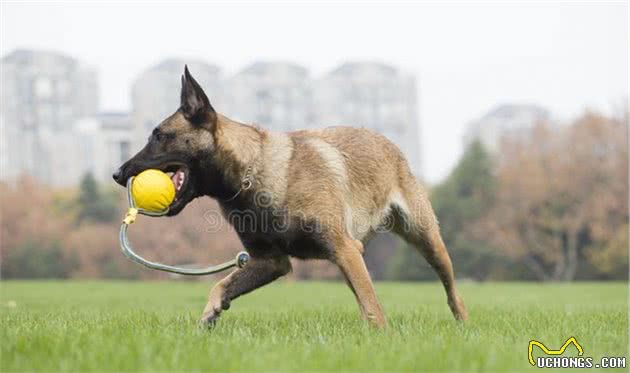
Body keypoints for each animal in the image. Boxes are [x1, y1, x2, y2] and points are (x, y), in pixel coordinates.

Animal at [115, 65, 470, 326]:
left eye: (159, 136)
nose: (118, 174)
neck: (253, 172)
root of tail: (389, 143)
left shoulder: (344, 248)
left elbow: (373, 308)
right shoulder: (271, 262)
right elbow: (221, 283)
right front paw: (209, 315)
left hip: (426, 240)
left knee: (452, 292)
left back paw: (462, 324)